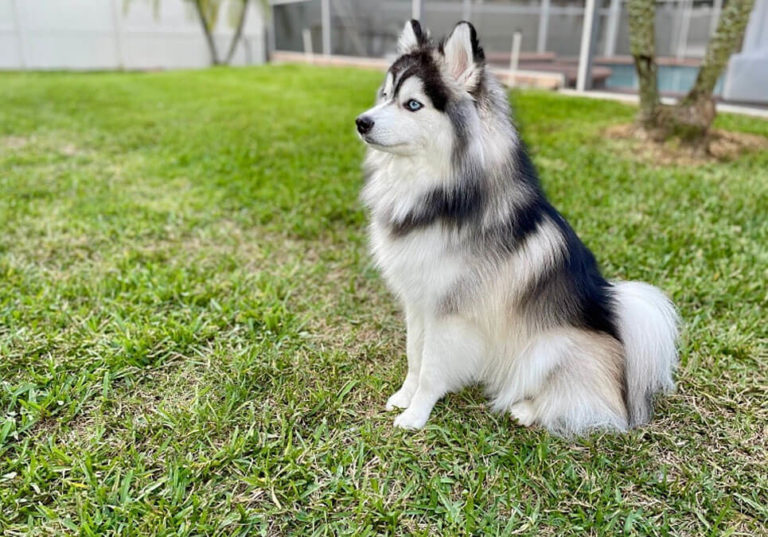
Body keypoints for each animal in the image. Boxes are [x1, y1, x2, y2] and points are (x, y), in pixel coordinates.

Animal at [354, 19, 680, 436]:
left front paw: (416, 415)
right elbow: (415, 356)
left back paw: (527, 408)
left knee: (587, 405)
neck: (440, 195)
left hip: (547, 347)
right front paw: (403, 397)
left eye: (413, 104)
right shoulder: (418, 301)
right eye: (385, 95)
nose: (361, 122)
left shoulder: (451, 312)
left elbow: (431, 368)